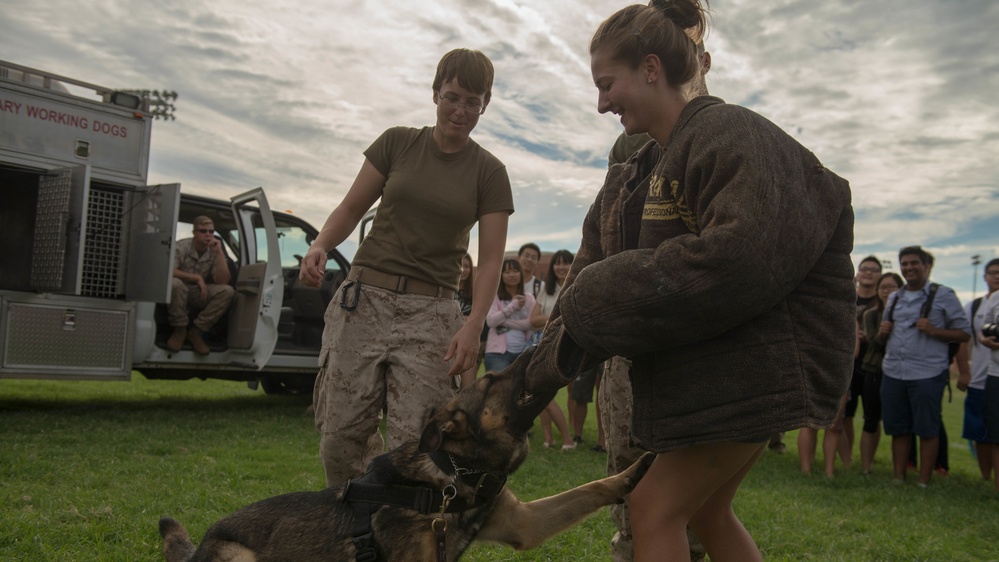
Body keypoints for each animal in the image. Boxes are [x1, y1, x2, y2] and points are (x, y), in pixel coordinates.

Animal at [158, 348, 656, 556]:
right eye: (492, 380)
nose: (538, 346)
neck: (454, 475)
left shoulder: (522, 524)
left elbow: (591, 488)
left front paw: (634, 471)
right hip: (237, 556)